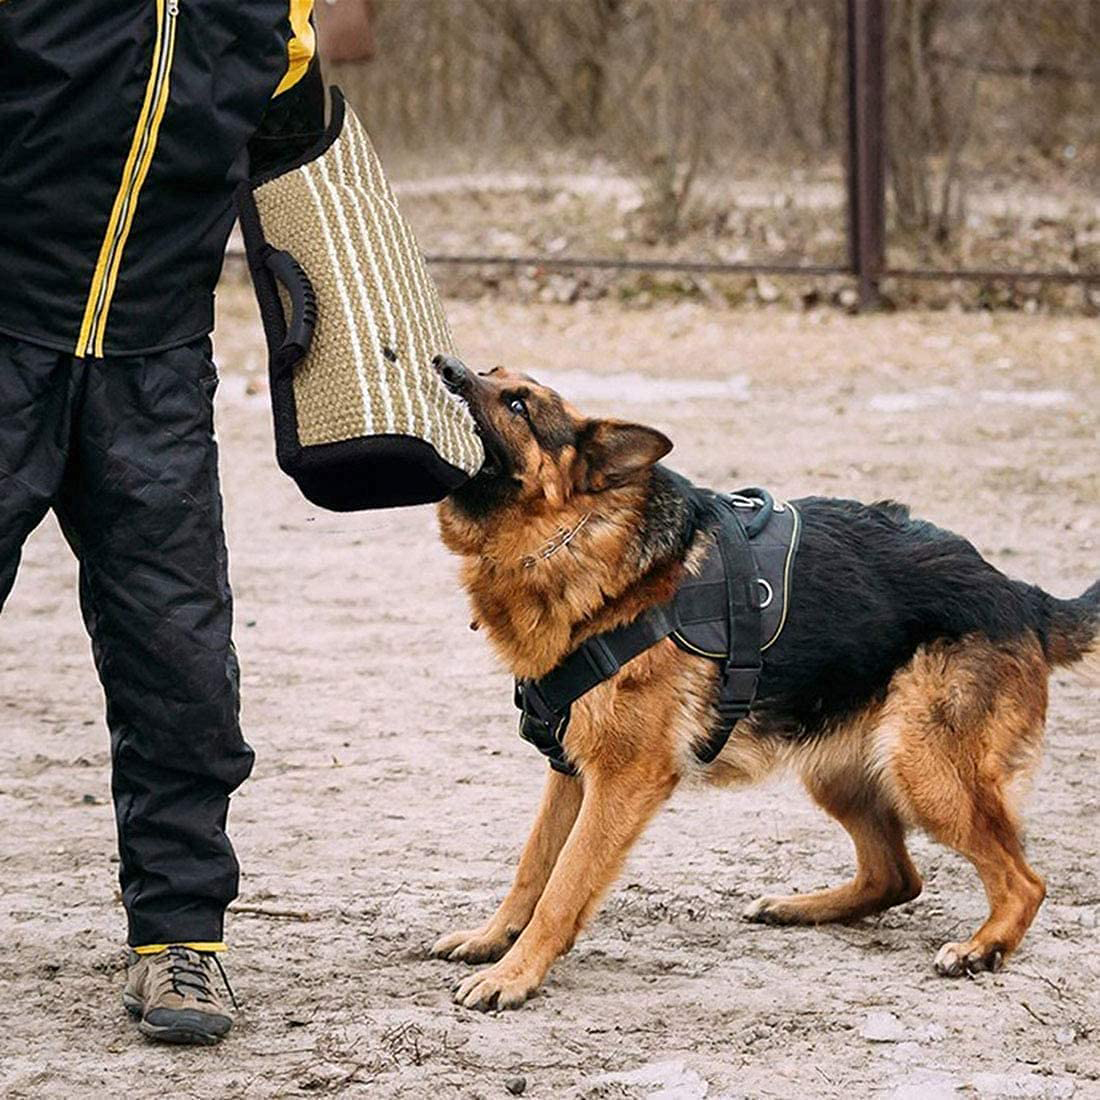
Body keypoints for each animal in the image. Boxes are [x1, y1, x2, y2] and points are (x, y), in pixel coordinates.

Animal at [429, 356, 1100, 1007]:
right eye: (491, 373)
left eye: (518, 405)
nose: (442, 364)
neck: (581, 533)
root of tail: (1016, 592)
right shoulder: (569, 770)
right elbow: (533, 865)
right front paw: (493, 938)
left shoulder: (624, 778)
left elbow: (564, 882)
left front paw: (515, 974)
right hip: (839, 773)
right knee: (896, 876)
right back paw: (800, 907)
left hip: (927, 772)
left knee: (1024, 882)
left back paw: (982, 947)